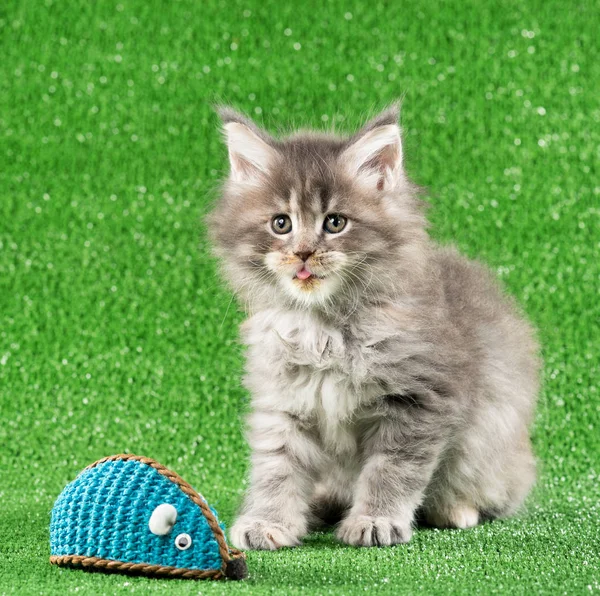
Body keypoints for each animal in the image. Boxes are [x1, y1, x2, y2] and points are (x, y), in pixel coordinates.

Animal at [206, 103, 540, 548]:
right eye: (281, 223)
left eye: (335, 223)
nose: (303, 253)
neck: (324, 327)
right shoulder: (284, 402)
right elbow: (277, 468)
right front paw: (268, 522)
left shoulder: (419, 399)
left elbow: (391, 469)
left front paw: (375, 521)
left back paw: (456, 510)